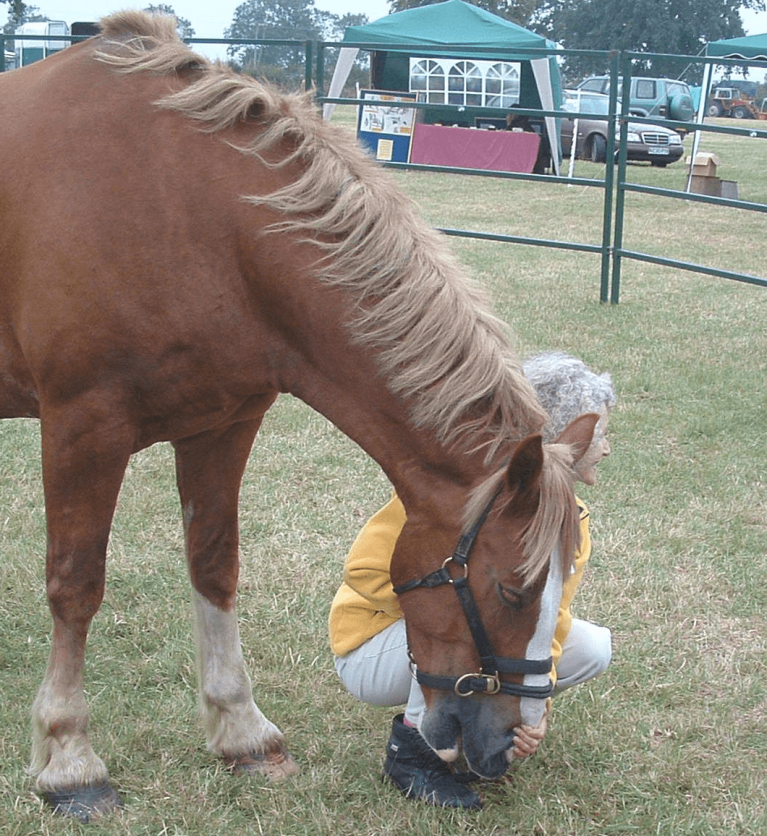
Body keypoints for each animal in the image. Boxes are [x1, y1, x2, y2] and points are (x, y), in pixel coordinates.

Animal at [0, 12, 598, 820]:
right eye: (513, 589)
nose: (506, 742)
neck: (191, 216)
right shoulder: (82, 427)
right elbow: (76, 584)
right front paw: (69, 759)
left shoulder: (221, 424)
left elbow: (215, 565)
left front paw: (242, 732)